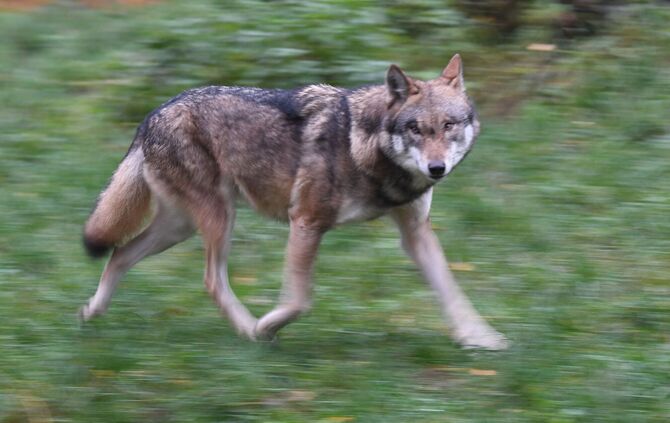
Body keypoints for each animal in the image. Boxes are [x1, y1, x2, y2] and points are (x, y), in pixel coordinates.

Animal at [81, 54, 508, 350]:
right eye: (416, 129)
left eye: (448, 126)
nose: (436, 168)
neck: (365, 147)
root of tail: (152, 114)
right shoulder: (305, 221)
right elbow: (300, 300)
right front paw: (267, 325)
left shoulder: (415, 233)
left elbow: (452, 291)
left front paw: (480, 339)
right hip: (218, 219)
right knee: (210, 280)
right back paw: (249, 331)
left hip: (180, 227)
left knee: (120, 253)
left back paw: (91, 312)